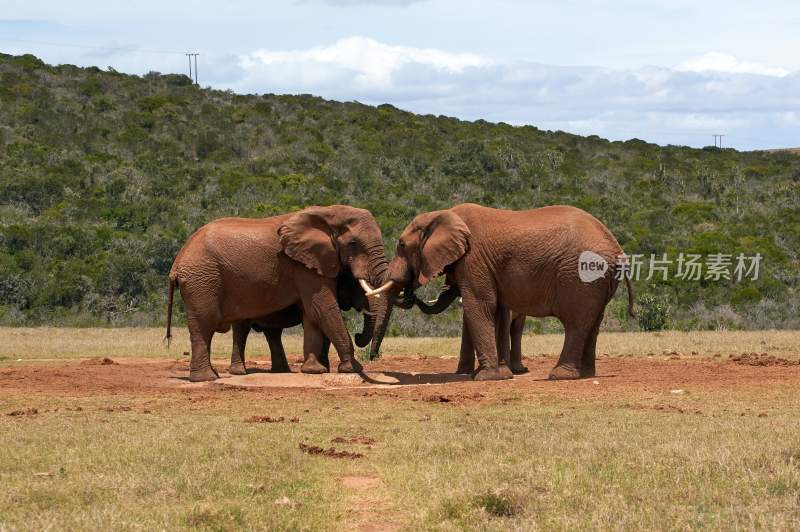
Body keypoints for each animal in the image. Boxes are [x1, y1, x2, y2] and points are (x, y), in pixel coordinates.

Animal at [228, 270, 368, 374]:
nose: (357, 336)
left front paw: (325, 369)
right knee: (242, 329)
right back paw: (239, 371)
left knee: (273, 333)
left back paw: (281, 371)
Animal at [366, 202, 636, 380]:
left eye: (401, 245)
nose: (373, 358)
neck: (444, 215)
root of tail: (617, 248)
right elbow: (493, 310)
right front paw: (496, 374)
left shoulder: (474, 261)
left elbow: (479, 306)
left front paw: (485, 377)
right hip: (597, 281)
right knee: (593, 323)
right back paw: (586, 375)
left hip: (581, 276)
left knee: (576, 323)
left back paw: (560, 375)